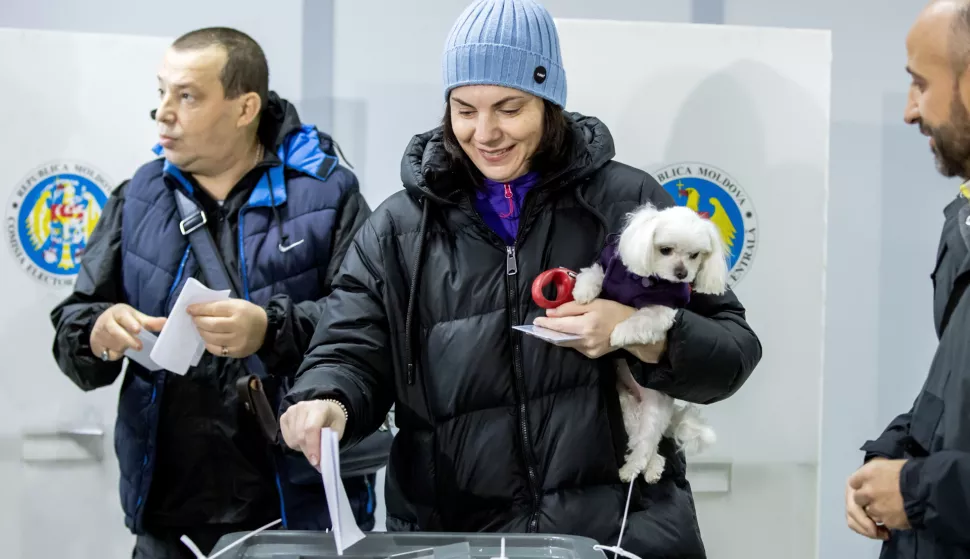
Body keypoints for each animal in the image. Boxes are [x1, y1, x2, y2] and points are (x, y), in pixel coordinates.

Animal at [572, 203, 724, 484]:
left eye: (695, 255)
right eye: (665, 250)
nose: (682, 274)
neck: (646, 281)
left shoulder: (663, 311)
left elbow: (641, 320)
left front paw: (619, 333)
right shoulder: (608, 268)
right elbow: (594, 273)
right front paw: (583, 292)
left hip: (654, 410)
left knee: (646, 445)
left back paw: (633, 470)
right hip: (628, 408)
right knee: (648, 446)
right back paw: (651, 467)